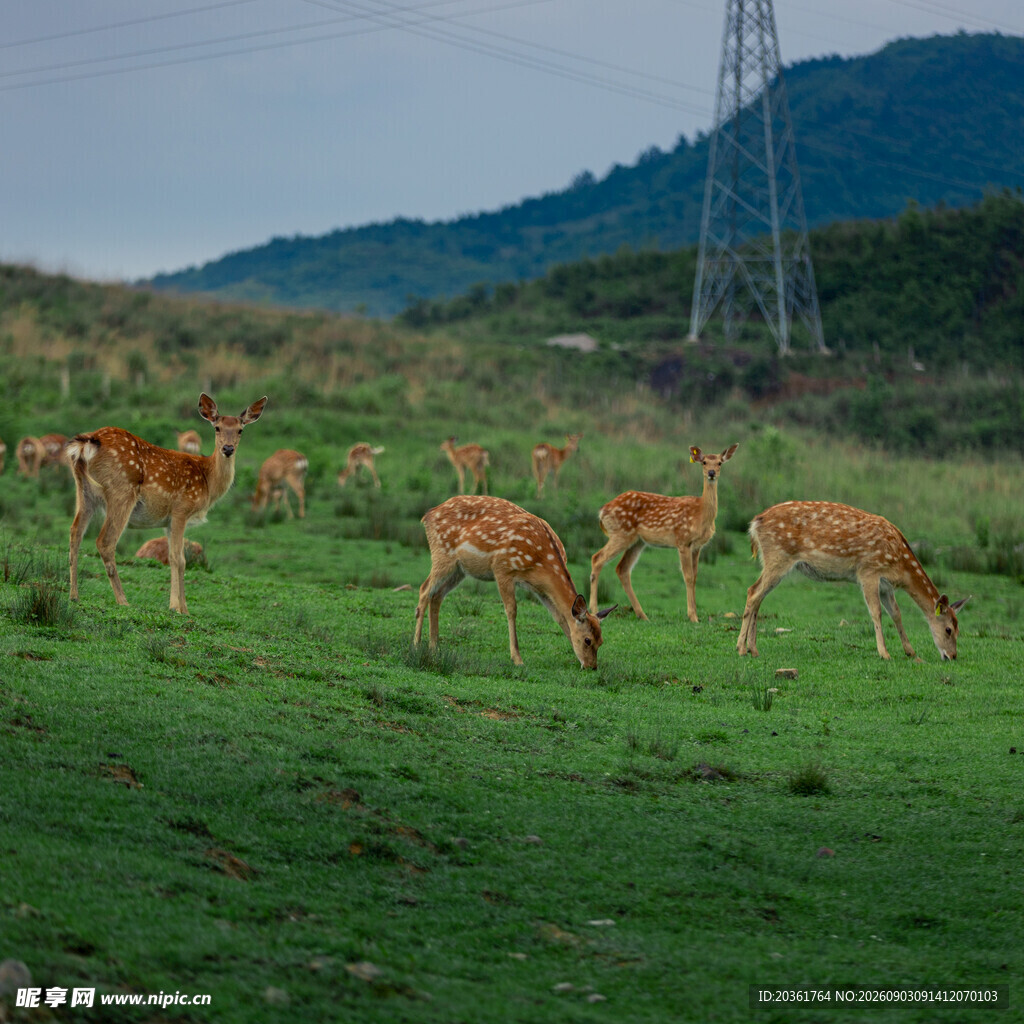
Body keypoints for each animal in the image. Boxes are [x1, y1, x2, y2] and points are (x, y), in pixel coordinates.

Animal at [67, 393, 267, 614]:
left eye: (240, 429)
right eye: (217, 427)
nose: (228, 448)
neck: (207, 481)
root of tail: (87, 443)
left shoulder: (168, 521)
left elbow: (177, 559)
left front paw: (181, 607)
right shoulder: (181, 509)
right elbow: (178, 558)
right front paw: (178, 608)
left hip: (84, 491)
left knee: (75, 531)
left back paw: (74, 595)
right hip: (122, 491)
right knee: (105, 541)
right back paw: (123, 601)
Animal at [414, 495, 615, 668]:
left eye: (601, 640)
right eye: (588, 640)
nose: (591, 667)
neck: (541, 562)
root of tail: (427, 516)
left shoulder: (540, 589)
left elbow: (558, 616)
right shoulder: (502, 569)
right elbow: (511, 610)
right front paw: (517, 658)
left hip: (459, 569)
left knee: (437, 596)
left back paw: (434, 647)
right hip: (442, 554)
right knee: (424, 590)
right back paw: (416, 645)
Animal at [589, 444, 739, 623]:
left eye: (719, 463)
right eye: (703, 462)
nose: (711, 473)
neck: (701, 514)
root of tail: (602, 511)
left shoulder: (697, 546)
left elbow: (695, 576)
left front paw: (695, 614)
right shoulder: (682, 540)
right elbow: (688, 576)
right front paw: (692, 616)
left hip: (637, 541)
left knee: (622, 569)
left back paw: (642, 615)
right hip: (621, 533)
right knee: (597, 558)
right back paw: (594, 609)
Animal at [737, 500, 970, 661]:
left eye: (959, 629)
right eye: (948, 629)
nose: (952, 656)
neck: (900, 564)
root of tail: (754, 523)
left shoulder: (886, 585)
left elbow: (896, 613)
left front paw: (910, 651)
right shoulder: (868, 571)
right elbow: (876, 612)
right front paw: (884, 653)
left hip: (771, 561)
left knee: (757, 595)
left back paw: (753, 649)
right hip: (778, 557)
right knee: (753, 593)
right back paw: (740, 648)